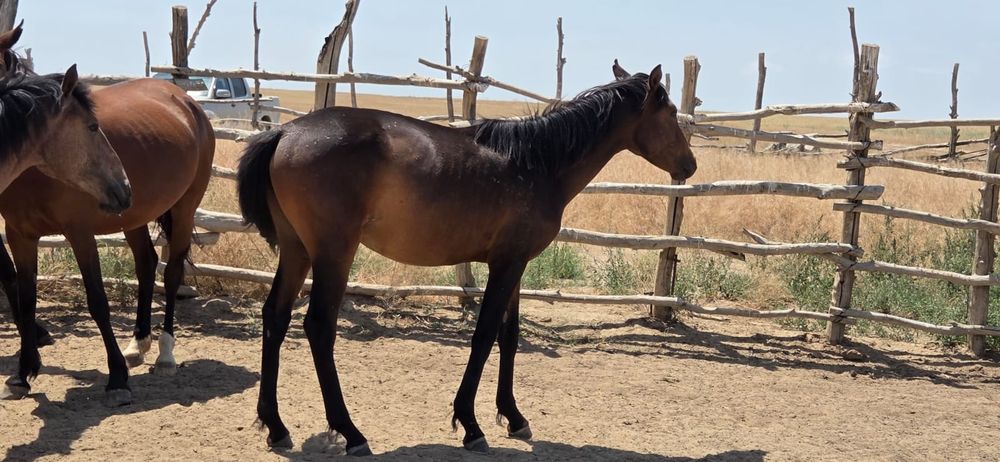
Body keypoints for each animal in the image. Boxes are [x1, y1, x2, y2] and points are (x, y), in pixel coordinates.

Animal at [0, 76, 215, 406]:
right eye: (91, 127)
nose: (123, 185)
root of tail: (186, 100)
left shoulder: (80, 232)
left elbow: (98, 301)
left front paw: (117, 379)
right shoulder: (19, 234)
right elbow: (25, 301)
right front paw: (22, 374)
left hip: (184, 209)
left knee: (172, 273)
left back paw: (165, 355)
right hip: (134, 218)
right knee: (146, 264)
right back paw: (137, 344)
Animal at [235, 61, 695, 455]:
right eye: (671, 111)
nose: (689, 166)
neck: (538, 163)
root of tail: (284, 134)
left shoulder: (515, 263)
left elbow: (510, 336)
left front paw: (513, 417)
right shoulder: (506, 265)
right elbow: (485, 334)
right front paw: (471, 425)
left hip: (297, 250)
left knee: (275, 317)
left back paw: (276, 427)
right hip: (333, 253)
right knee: (318, 327)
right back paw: (350, 433)